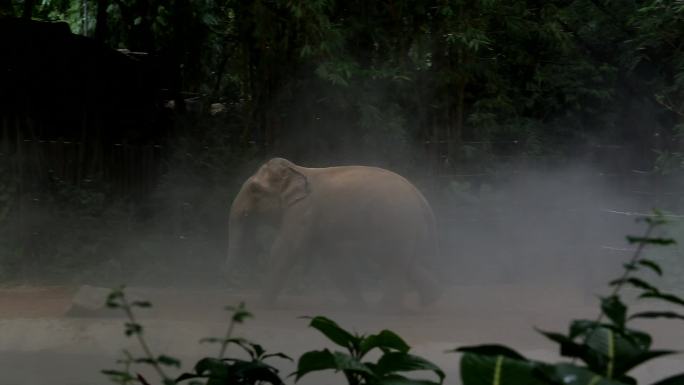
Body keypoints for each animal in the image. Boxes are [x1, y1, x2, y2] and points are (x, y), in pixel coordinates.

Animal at [224, 158, 444, 308]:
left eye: (254, 189)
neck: (297, 170)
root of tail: (422, 200)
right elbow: (334, 261)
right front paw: (357, 307)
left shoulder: (303, 211)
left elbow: (285, 250)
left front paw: (260, 306)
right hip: (406, 229)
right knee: (403, 262)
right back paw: (429, 300)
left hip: (396, 224)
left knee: (392, 264)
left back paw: (384, 309)